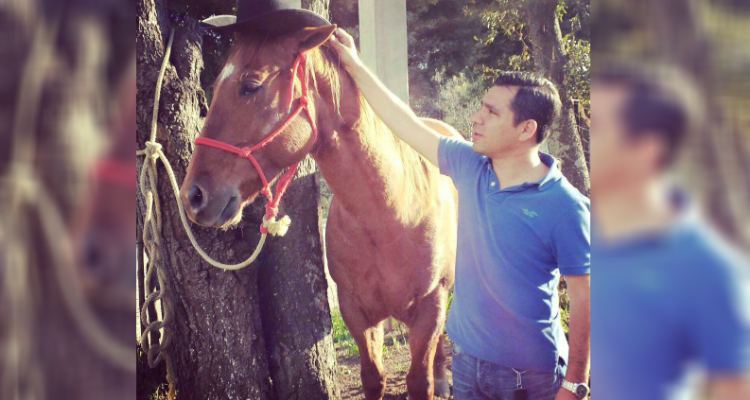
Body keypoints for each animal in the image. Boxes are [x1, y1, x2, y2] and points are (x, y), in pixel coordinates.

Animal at [180, 25, 459, 400]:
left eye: (251, 85)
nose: (193, 195)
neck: (392, 215)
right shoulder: (356, 312)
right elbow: (374, 377)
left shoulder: (430, 306)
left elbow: (420, 381)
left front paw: (435, 378)